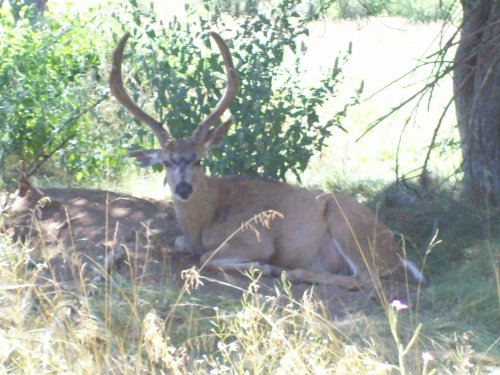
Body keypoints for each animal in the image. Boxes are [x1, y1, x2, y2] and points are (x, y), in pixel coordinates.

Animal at [109, 32, 426, 290]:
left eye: (199, 160)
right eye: (165, 162)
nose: (183, 189)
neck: (207, 217)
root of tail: (394, 249)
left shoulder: (256, 239)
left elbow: (206, 258)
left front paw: (264, 267)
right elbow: (180, 243)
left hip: (346, 224)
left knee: (367, 279)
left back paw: (292, 273)